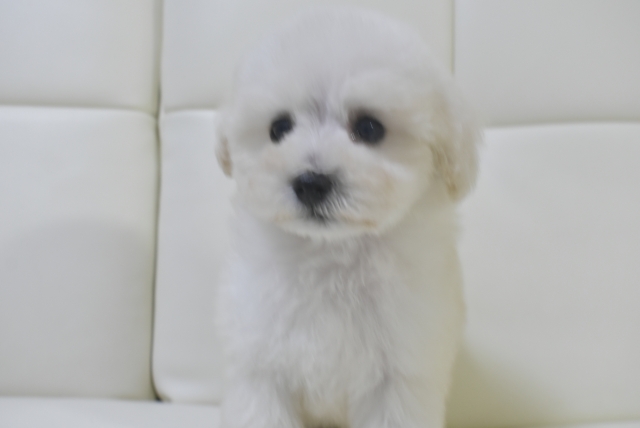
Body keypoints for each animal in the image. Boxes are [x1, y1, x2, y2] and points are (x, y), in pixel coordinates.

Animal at [215, 8, 479, 428]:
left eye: (369, 128)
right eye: (279, 128)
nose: (310, 183)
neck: (330, 255)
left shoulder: (398, 378)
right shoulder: (258, 365)